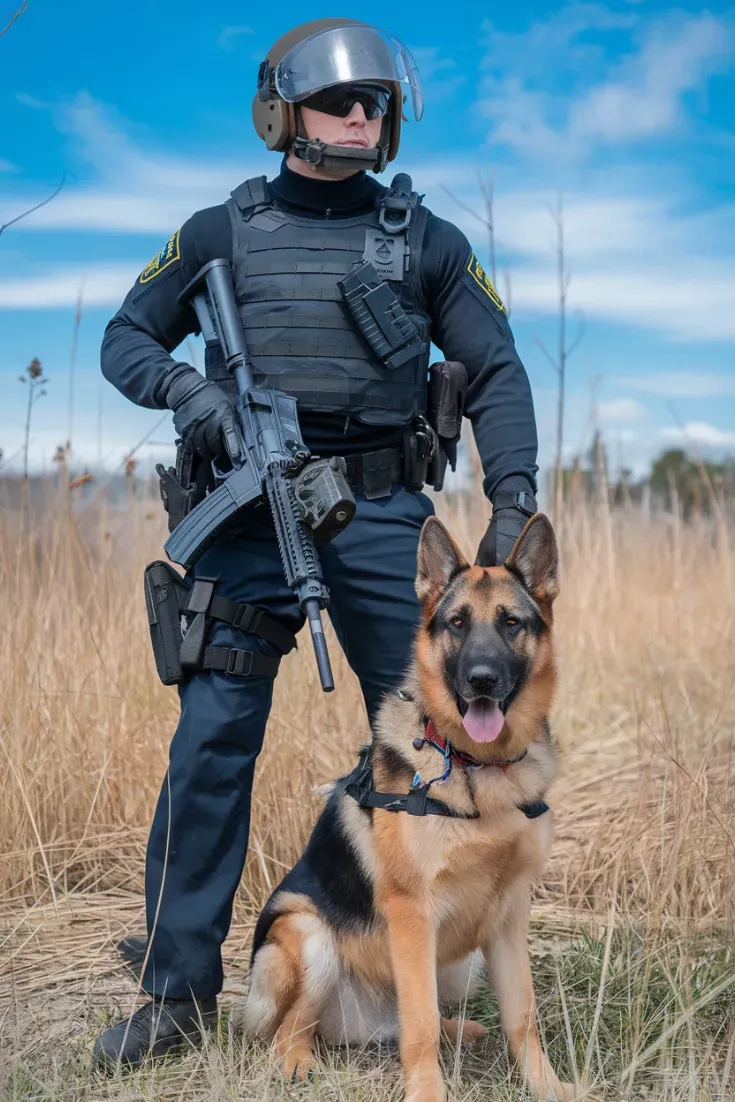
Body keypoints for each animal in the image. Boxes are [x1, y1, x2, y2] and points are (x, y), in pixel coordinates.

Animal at [234, 515, 573, 1102]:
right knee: (292, 1029)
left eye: (511, 623)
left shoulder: (509, 918)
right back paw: (297, 1063)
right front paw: (427, 1093)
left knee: (421, 1017)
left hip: (464, 964)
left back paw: (461, 1030)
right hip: (309, 937)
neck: (476, 765)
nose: (481, 680)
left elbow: (522, 1018)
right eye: (457, 623)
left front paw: (547, 1086)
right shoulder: (413, 914)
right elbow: (419, 1030)